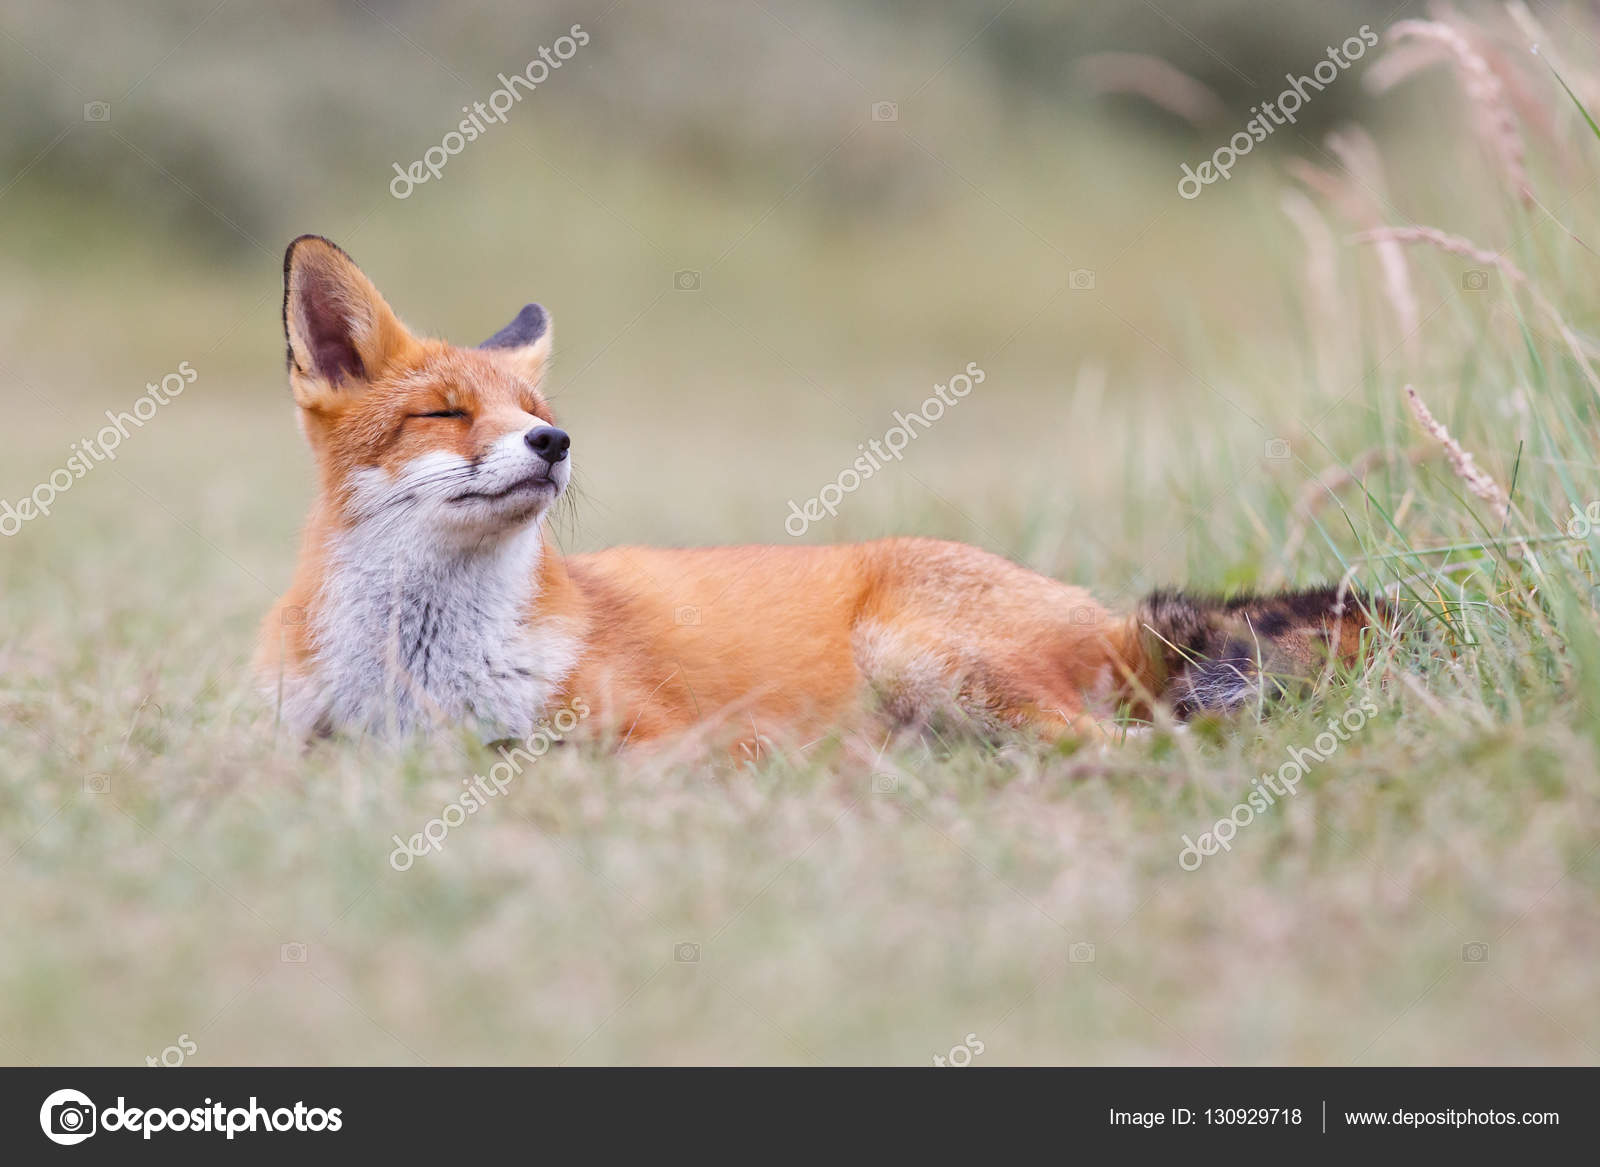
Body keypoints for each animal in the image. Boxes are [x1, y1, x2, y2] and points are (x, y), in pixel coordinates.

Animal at [257, 235, 1388, 749]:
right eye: (446, 412)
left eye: (532, 405)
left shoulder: (672, 744)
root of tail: (1093, 608)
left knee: (1136, 742)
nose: (555, 441)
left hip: (931, 660)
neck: (421, 677)